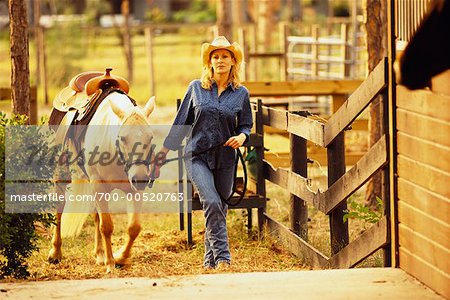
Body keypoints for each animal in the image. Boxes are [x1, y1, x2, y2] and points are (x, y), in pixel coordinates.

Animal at [47, 71, 156, 274]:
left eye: (150, 137)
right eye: (123, 137)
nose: (140, 178)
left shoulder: (132, 190)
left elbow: (134, 228)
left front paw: (120, 257)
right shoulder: (99, 185)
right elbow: (107, 226)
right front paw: (111, 263)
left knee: (95, 214)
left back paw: (99, 254)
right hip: (62, 174)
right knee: (59, 211)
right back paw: (56, 253)